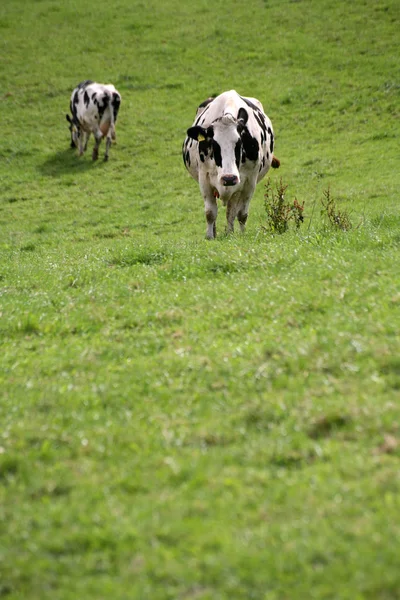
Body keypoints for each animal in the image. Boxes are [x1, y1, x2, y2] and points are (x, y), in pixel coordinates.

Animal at [183, 89, 280, 239]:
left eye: (239, 143)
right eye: (213, 144)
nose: (228, 178)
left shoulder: (249, 182)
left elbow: (241, 214)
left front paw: (241, 234)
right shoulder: (204, 178)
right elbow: (210, 213)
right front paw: (209, 237)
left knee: (231, 211)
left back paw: (230, 232)